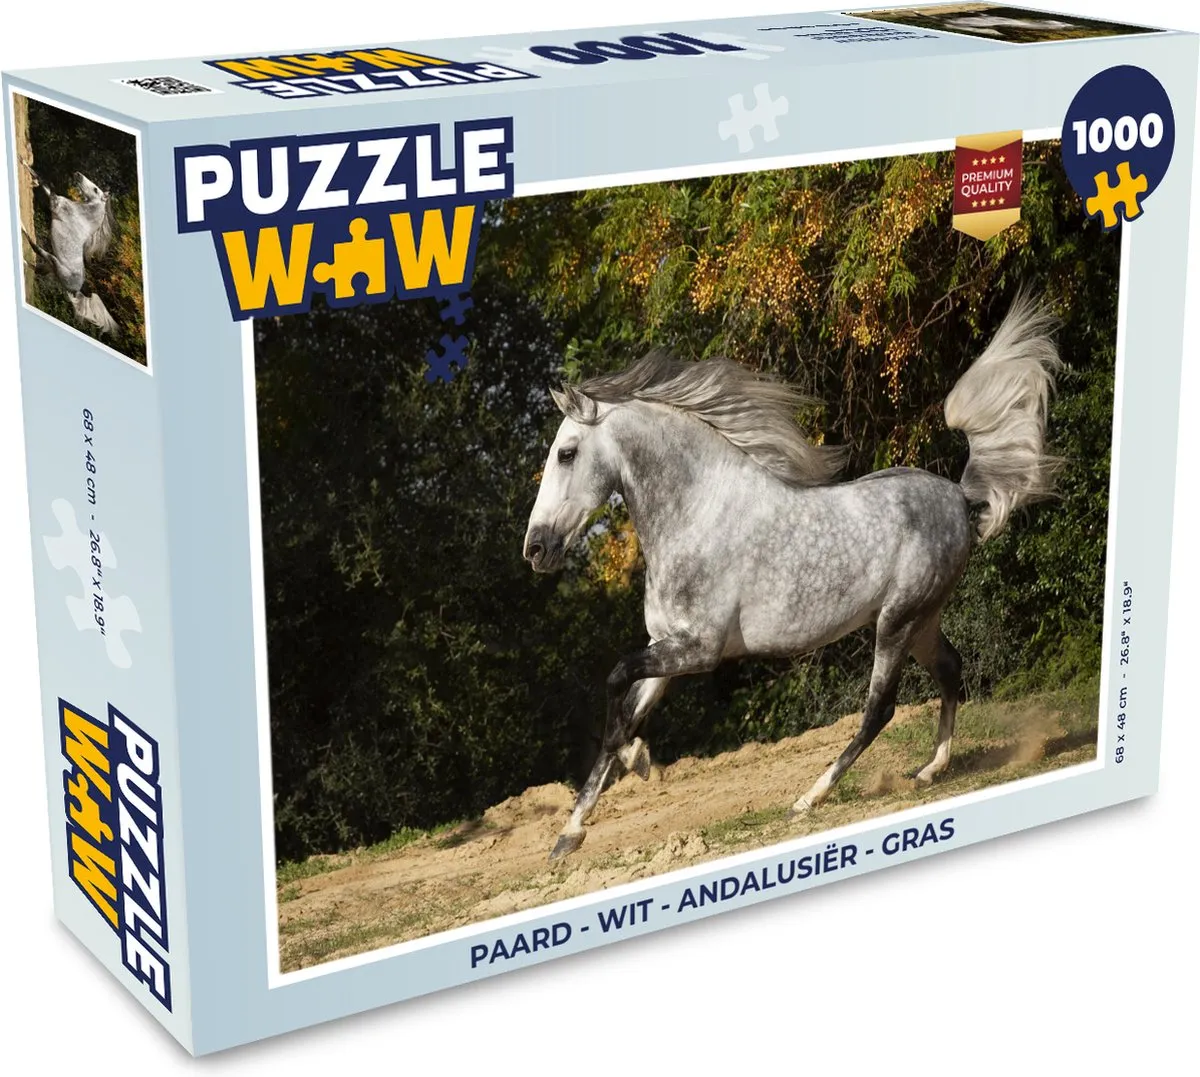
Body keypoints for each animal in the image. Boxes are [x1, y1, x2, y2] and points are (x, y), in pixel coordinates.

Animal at [21, 163, 121, 338]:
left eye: (95, 189)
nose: (78, 174)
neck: (82, 215)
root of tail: (78, 289)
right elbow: (46, 185)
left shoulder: (55, 203)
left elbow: (43, 182)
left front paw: (24, 164)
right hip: (49, 266)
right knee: (36, 268)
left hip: (52, 260)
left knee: (35, 247)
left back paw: (22, 227)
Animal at [523, 293, 1061, 860]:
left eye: (566, 453)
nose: (535, 549)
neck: (697, 514)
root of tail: (961, 499)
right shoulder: (666, 645)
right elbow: (625, 712)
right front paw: (569, 834)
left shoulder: (698, 650)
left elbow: (615, 684)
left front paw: (636, 761)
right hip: (922, 621)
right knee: (950, 671)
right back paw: (929, 771)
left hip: (896, 621)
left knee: (880, 709)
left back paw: (809, 797)